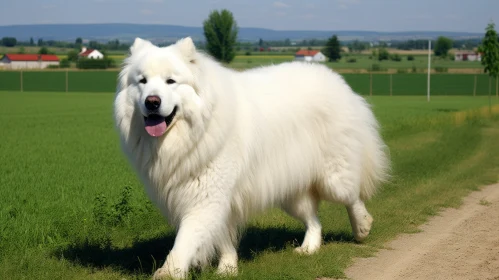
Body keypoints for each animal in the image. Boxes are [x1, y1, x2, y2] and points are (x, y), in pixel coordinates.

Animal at [113, 37, 390, 280]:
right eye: (142, 81)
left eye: (171, 81)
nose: (152, 101)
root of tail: (338, 82)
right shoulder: (219, 201)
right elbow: (222, 238)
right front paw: (227, 269)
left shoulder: (205, 198)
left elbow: (185, 239)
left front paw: (169, 272)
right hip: (290, 190)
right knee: (314, 220)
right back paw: (309, 248)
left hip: (334, 178)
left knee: (352, 198)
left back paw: (362, 228)